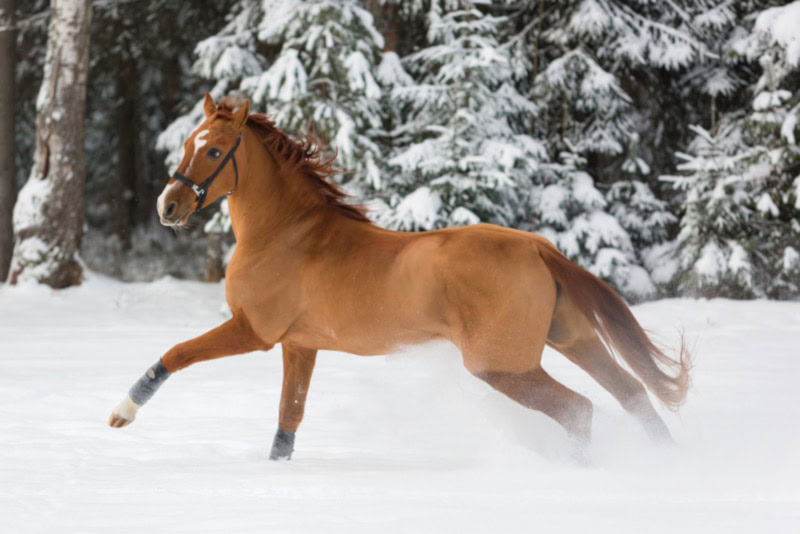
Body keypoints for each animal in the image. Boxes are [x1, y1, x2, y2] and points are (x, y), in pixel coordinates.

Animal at [109, 94, 691, 460]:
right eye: (188, 141)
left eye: (212, 149)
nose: (168, 206)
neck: (285, 235)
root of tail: (538, 247)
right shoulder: (300, 345)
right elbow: (288, 419)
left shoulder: (254, 331)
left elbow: (175, 355)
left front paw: (121, 415)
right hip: (571, 338)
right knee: (634, 394)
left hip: (502, 365)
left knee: (580, 409)